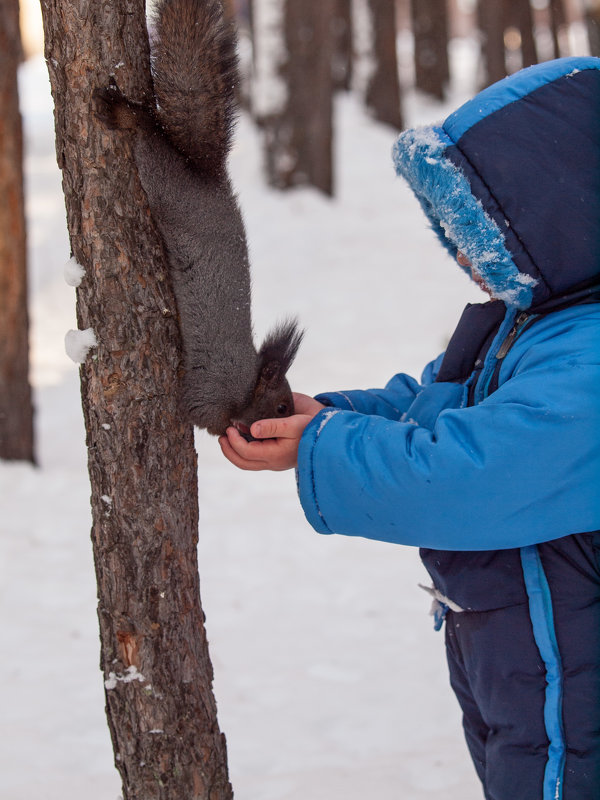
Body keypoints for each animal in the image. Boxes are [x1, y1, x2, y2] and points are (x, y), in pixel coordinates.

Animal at [94, 0, 302, 438]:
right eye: (280, 407)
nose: (285, 423)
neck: (246, 387)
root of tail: (209, 177)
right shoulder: (212, 393)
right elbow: (196, 413)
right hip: (169, 187)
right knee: (150, 140)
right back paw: (127, 115)